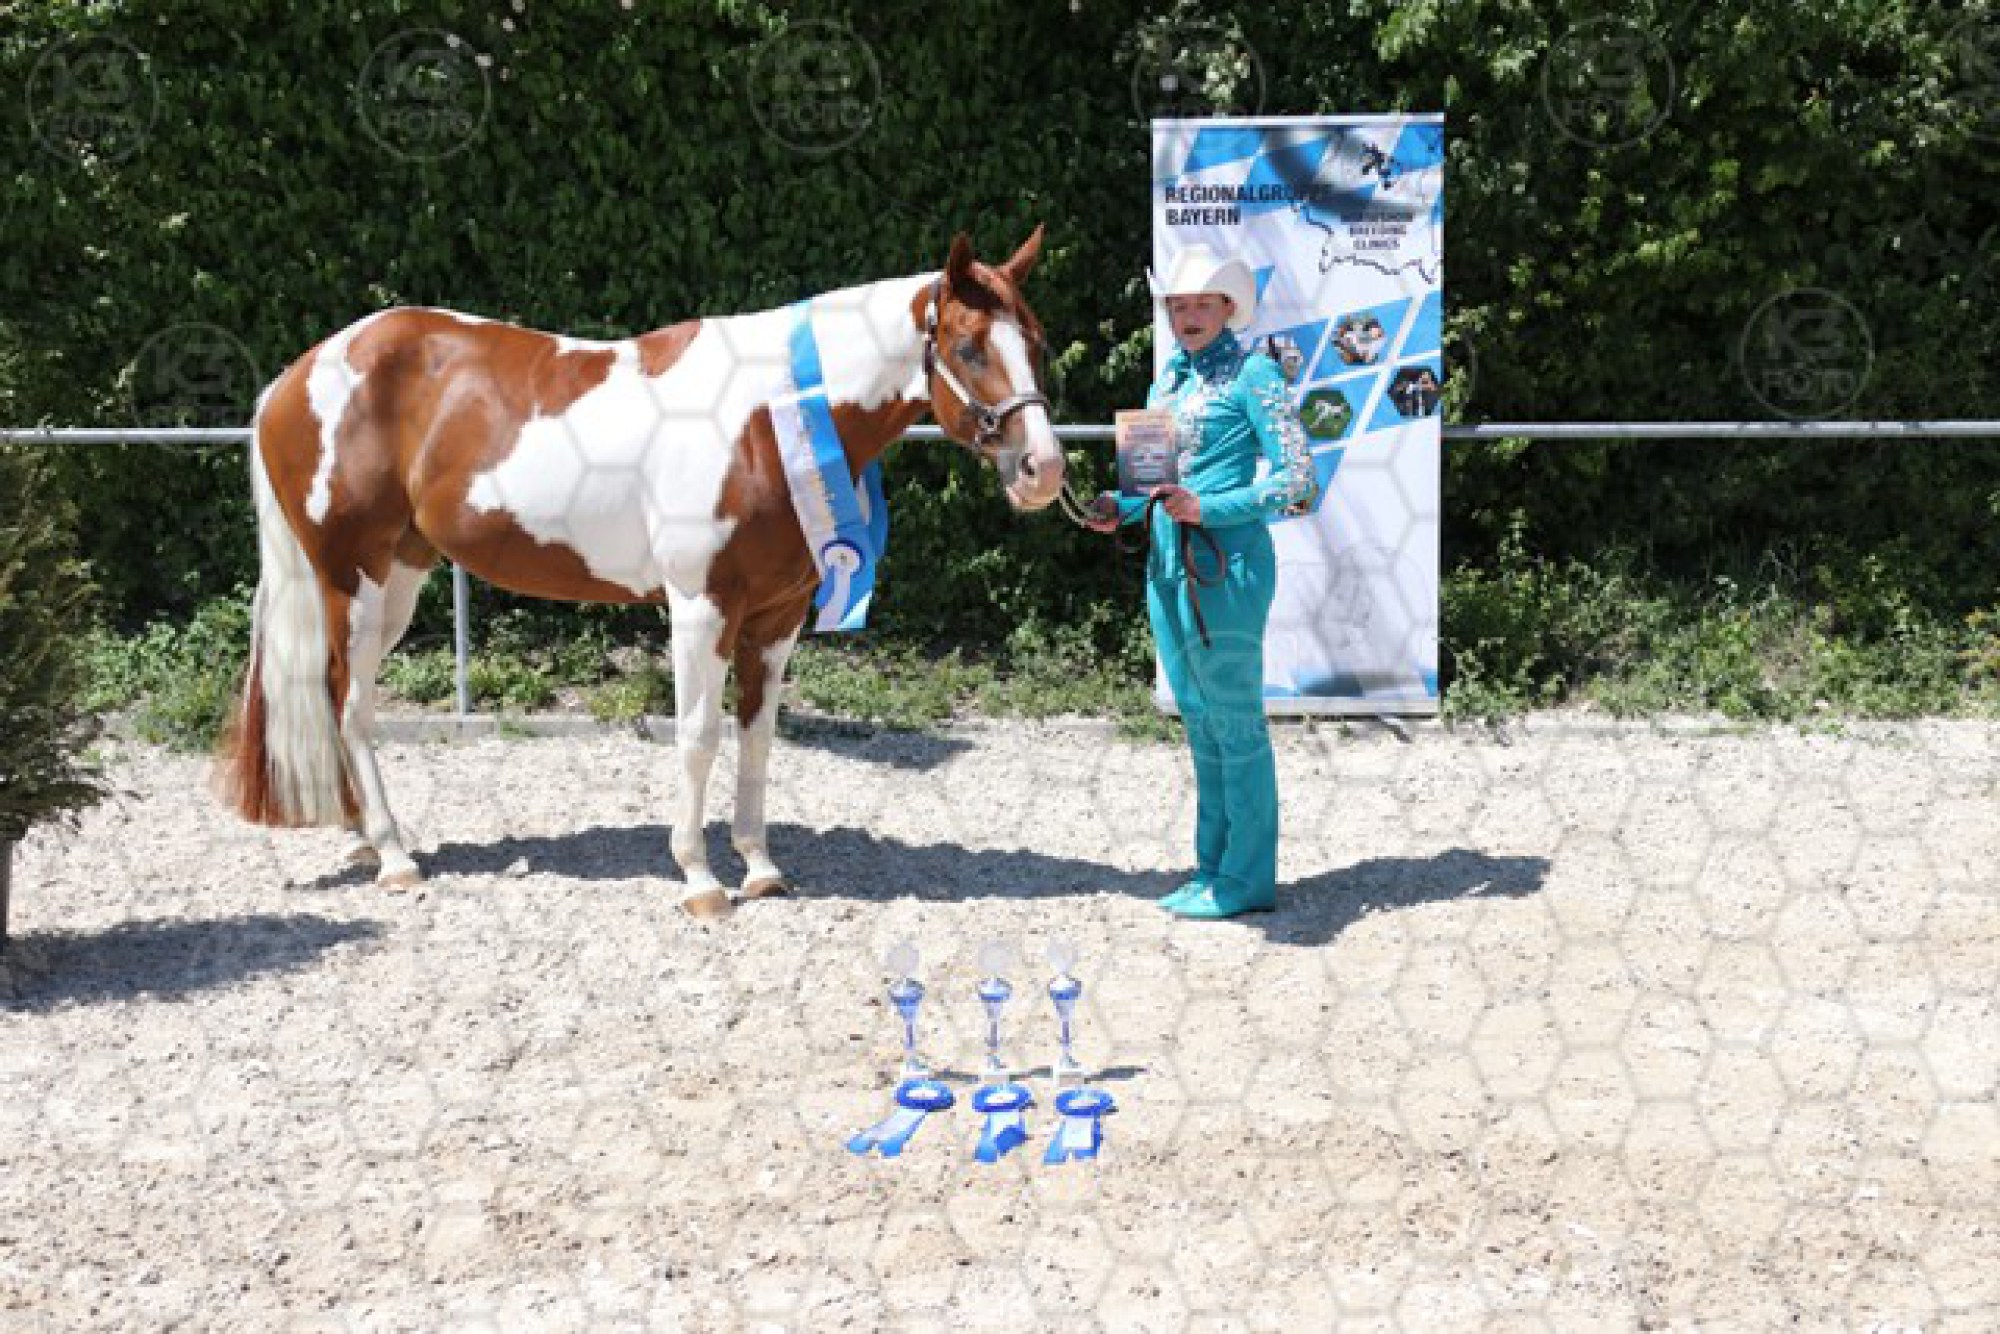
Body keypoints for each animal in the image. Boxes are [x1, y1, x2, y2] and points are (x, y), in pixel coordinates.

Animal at [215, 228, 1062, 920]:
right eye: (969, 348)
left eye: (1037, 342)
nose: (1043, 470)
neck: (766, 417)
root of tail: (295, 375)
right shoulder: (700, 607)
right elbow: (698, 735)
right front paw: (701, 880)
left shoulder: (777, 617)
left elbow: (758, 737)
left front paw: (759, 867)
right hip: (351, 579)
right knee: (351, 704)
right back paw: (393, 856)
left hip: (397, 579)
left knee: (334, 694)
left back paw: (363, 837)